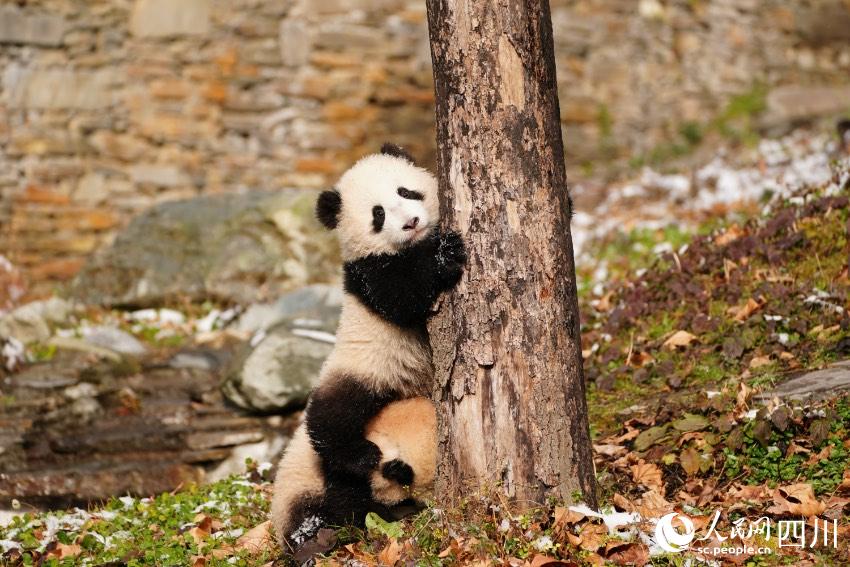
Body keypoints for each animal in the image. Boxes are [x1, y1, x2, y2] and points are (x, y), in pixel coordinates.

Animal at [270, 143, 466, 548]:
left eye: (407, 192)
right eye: (378, 214)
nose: (411, 222)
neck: (410, 247)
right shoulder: (368, 275)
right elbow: (404, 295)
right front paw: (445, 254)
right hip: (363, 370)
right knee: (329, 418)